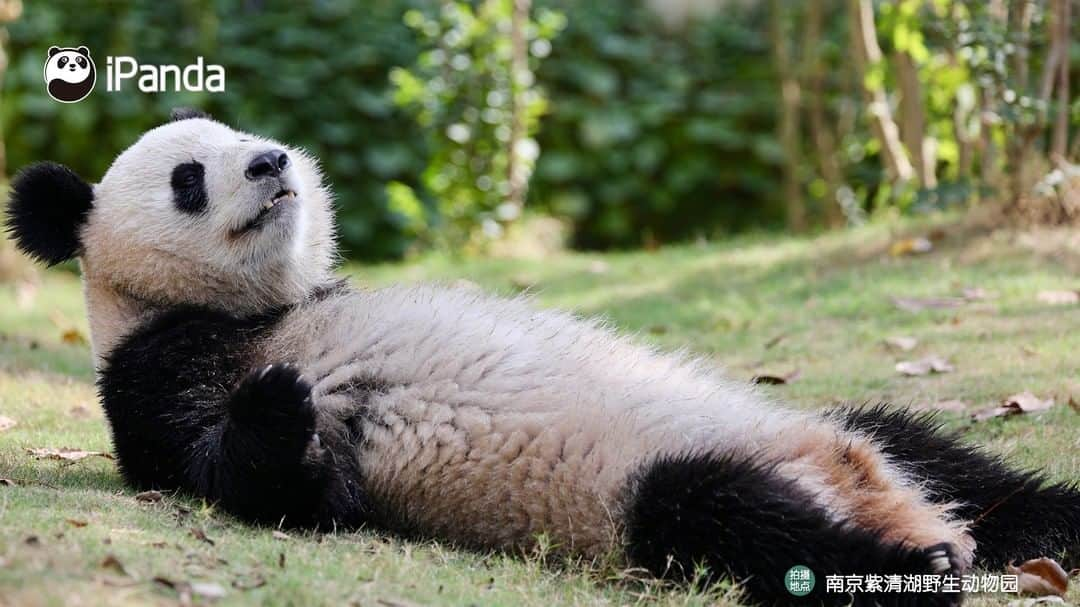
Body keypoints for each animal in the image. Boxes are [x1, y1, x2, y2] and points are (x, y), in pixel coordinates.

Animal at [8, 109, 1080, 604]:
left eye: (241, 134)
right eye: (191, 178)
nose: (272, 162)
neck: (247, 308)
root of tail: (871, 486)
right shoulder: (159, 371)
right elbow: (263, 481)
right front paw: (281, 401)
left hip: (829, 419)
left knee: (951, 460)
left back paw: (1025, 523)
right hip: (647, 489)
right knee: (729, 515)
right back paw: (917, 557)